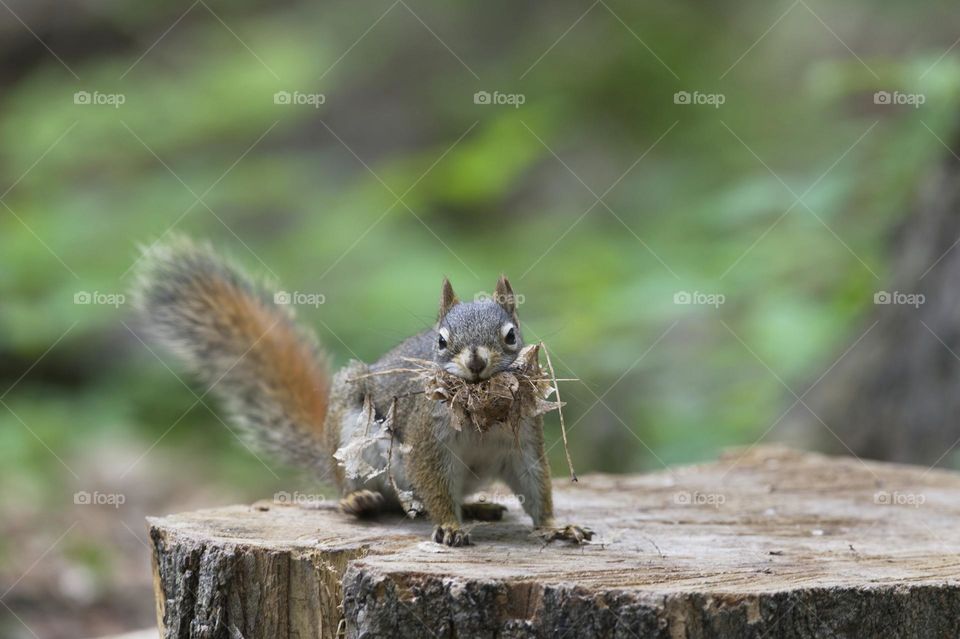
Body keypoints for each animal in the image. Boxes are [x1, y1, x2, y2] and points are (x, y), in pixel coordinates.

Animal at [133, 238, 592, 547]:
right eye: (441, 341)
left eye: (511, 336)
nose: (477, 362)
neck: (480, 410)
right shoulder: (427, 440)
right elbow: (433, 482)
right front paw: (449, 526)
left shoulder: (522, 443)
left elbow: (537, 485)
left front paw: (556, 527)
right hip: (354, 438)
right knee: (369, 494)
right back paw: (360, 500)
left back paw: (477, 507)